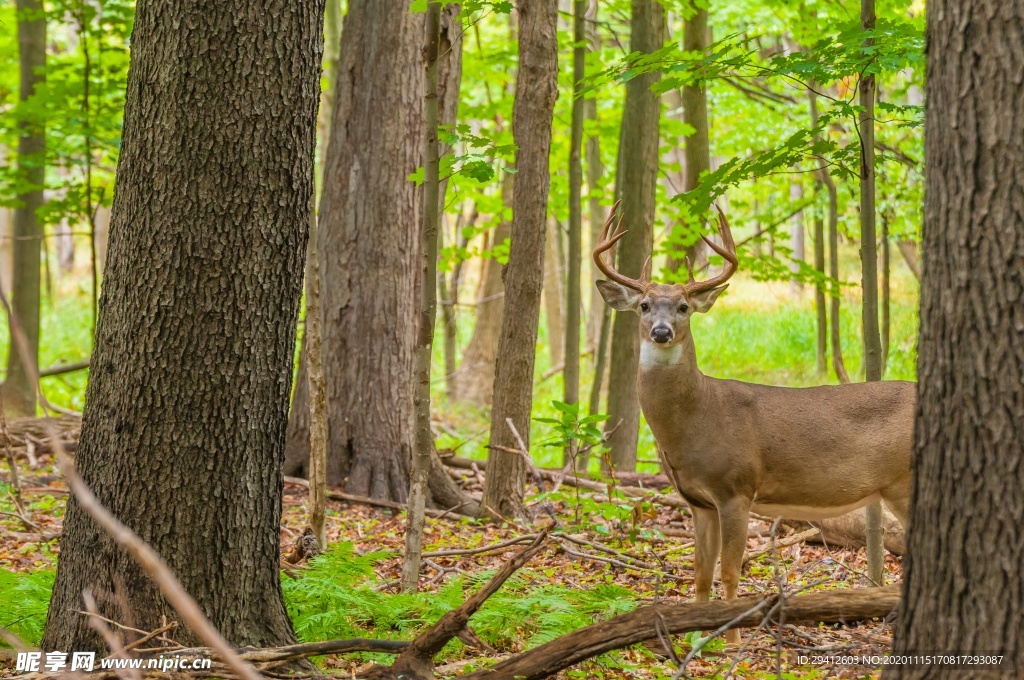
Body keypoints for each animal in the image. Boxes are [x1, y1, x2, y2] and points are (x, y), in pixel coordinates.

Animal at [593, 201, 913, 643]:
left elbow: (729, 571)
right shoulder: (698, 501)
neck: (699, 418)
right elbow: (700, 573)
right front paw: (694, 637)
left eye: (683, 307)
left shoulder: (736, 488)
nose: (661, 331)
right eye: (643, 305)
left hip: (904, 482)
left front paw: (730, 640)